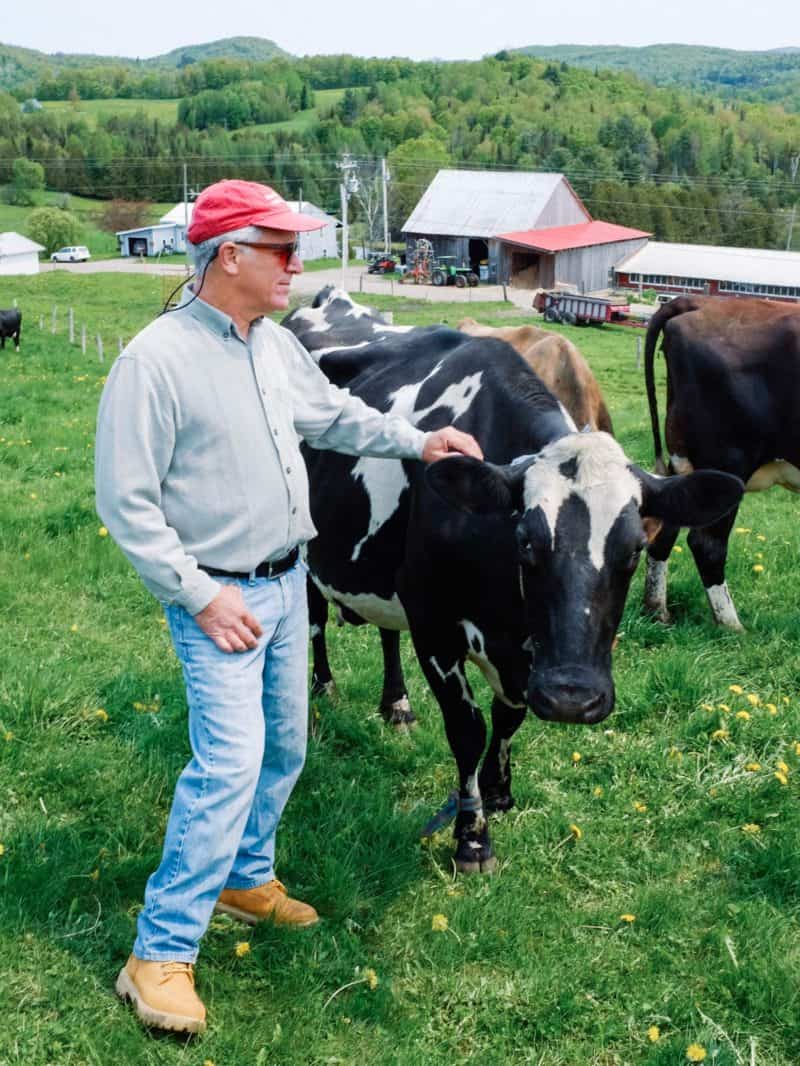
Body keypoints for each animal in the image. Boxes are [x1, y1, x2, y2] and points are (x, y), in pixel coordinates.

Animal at [644, 292, 800, 626]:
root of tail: (701, 301)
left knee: (666, 531)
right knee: (707, 544)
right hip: (728, 462)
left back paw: (657, 610)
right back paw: (731, 624)